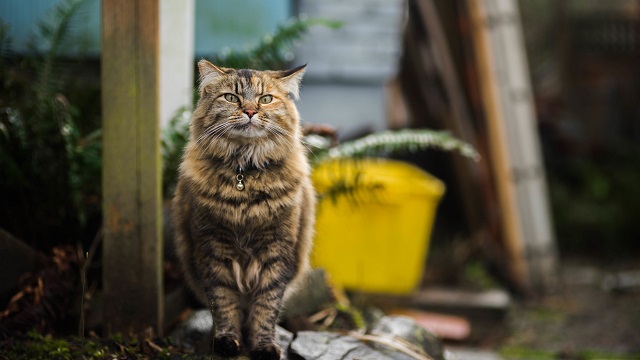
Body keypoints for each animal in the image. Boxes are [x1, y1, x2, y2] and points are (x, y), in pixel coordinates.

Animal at [171, 59, 316, 360]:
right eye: (231, 98)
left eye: (266, 99)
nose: (250, 111)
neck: (244, 175)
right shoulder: (213, 250)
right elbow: (224, 304)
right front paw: (227, 342)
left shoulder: (277, 252)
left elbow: (266, 307)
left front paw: (264, 346)